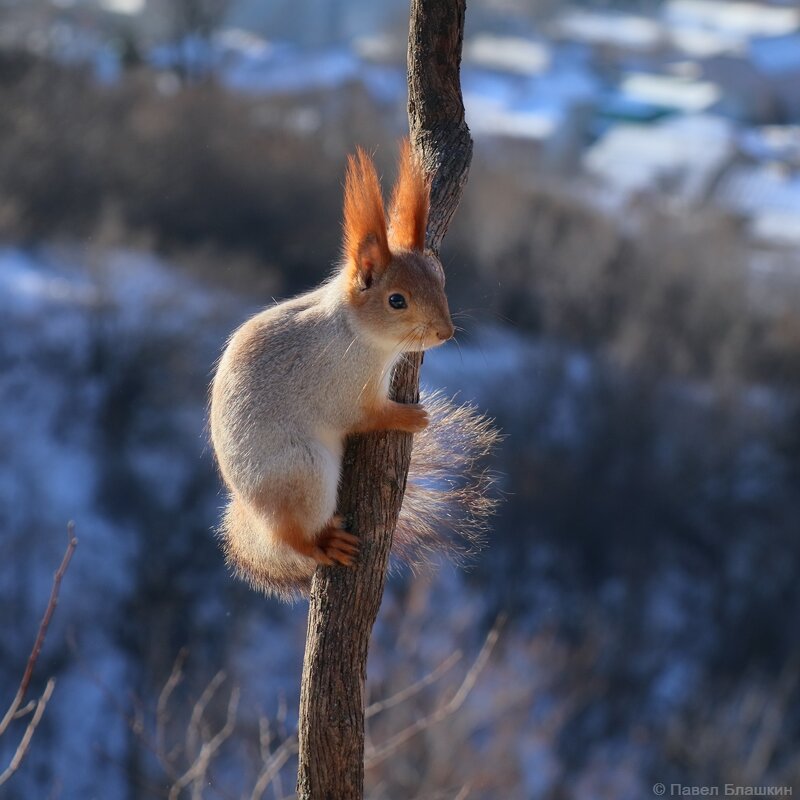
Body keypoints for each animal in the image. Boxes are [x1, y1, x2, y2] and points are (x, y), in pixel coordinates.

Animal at [209, 139, 496, 600]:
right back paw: (323, 542)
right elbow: (364, 415)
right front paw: (409, 417)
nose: (445, 332)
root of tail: (257, 516)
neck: (354, 332)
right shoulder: (340, 385)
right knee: (295, 535)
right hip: (304, 472)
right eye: (396, 300)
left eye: (441, 277)